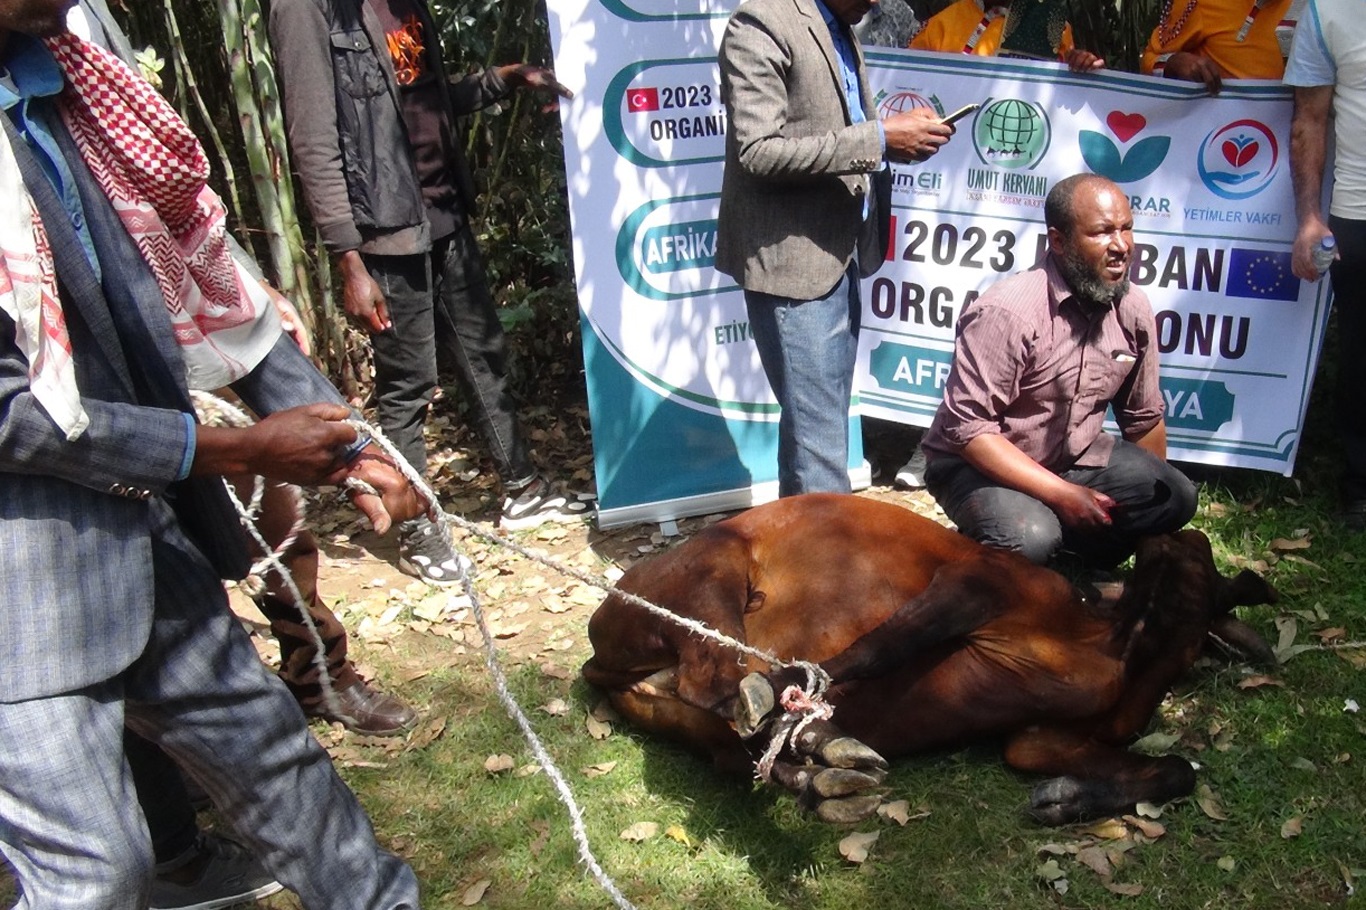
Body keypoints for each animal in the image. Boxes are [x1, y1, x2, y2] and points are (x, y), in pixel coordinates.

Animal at [582, 493, 1276, 825]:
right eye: (1196, 547)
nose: (1163, 530)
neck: (1116, 642)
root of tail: (596, 658)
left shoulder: (1037, 738)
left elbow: (1179, 770)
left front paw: (1067, 800)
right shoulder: (979, 586)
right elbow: (871, 651)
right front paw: (798, 689)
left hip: (687, 719)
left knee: (740, 745)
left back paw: (824, 766)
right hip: (716, 565)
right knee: (718, 681)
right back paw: (790, 716)